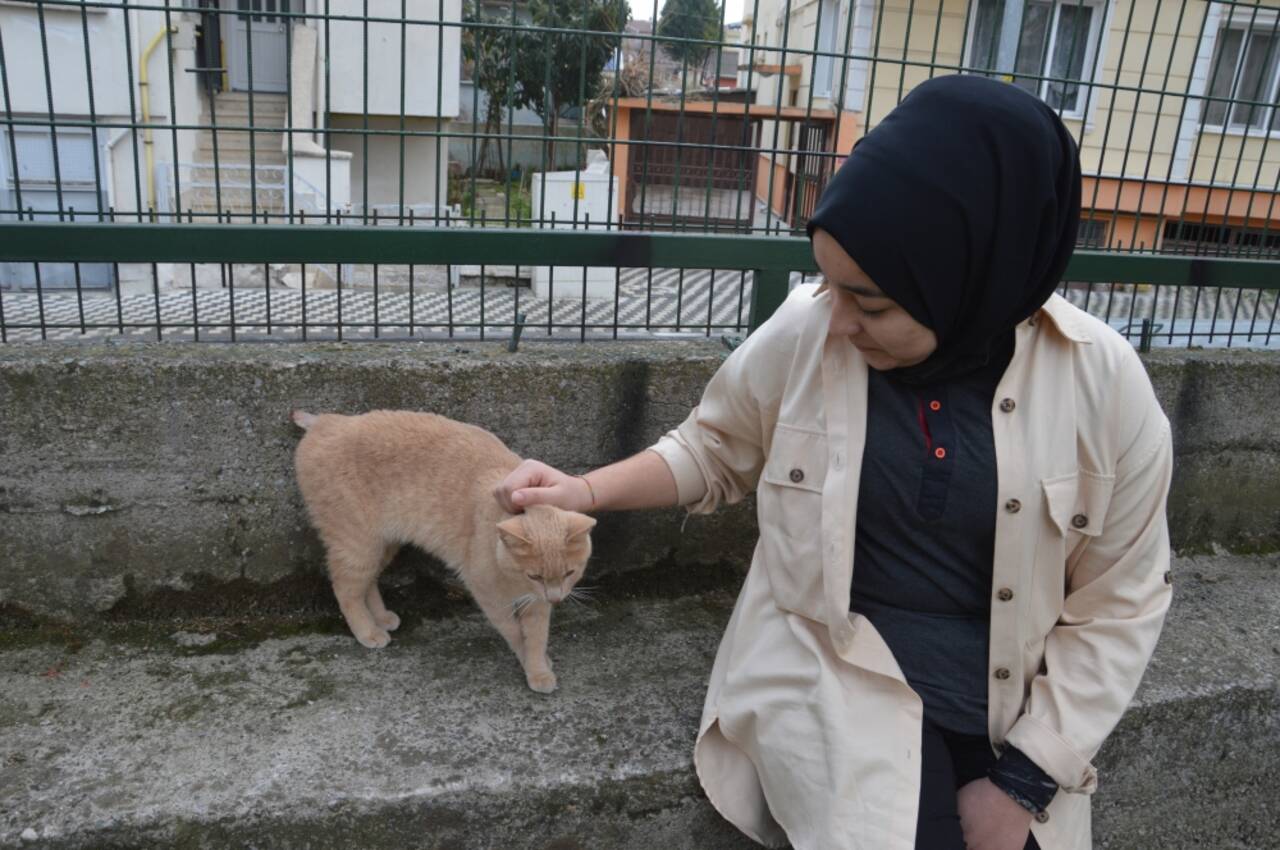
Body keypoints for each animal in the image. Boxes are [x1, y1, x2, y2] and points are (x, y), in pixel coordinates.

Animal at [290, 409, 593, 696]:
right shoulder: (490, 597)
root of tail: (327, 421)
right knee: (346, 589)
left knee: (368, 582)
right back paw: (367, 631)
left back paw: (381, 618)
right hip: (358, 544)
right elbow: (516, 634)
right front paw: (531, 666)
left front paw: (539, 667)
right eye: (534, 576)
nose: (556, 598)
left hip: (382, 546)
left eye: (569, 573)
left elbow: (536, 637)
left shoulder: (538, 605)